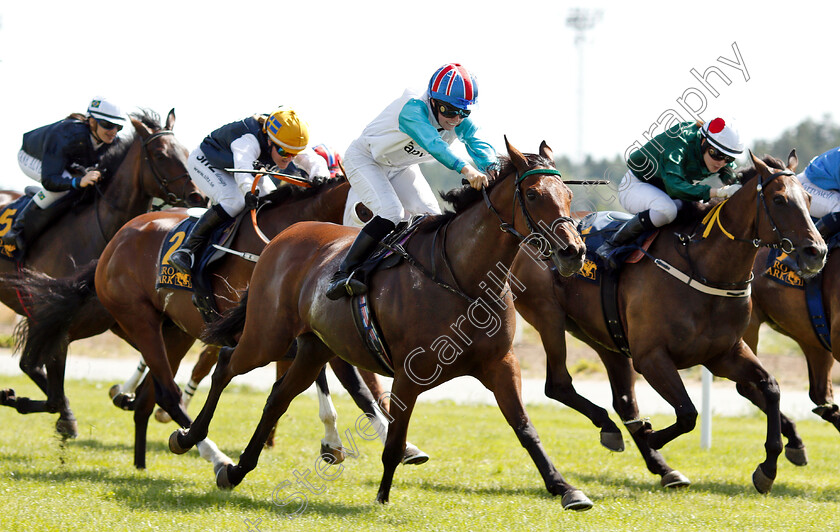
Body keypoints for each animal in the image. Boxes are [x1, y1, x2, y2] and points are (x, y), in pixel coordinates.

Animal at [0, 110, 205, 438]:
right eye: (161, 155)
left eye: (185, 152)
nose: (198, 196)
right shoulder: (49, 320)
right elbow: (37, 374)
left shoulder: (112, 320)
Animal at [169, 139, 592, 510]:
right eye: (534, 195)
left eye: (568, 197)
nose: (574, 251)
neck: (461, 278)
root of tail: (281, 238)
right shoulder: (410, 374)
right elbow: (394, 438)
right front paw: (383, 497)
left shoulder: (501, 364)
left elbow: (525, 428)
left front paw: (566, 489)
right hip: (267, 335)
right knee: (226, 364)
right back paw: (190, 439)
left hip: (313, 347)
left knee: (277, 399)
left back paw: (237, 470)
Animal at [508, 152, 824, 492]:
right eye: (779, 199)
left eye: (808, 199)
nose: (816, 252)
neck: (704, 267)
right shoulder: (652, 357)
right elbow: (687, 413)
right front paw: (653, 436)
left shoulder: (724, 354)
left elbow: (770, 386)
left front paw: (769, 467)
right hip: (549, 317)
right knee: (558, 384)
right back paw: (615, 430)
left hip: (605, 336)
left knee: (624, 401)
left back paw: (659, 464)